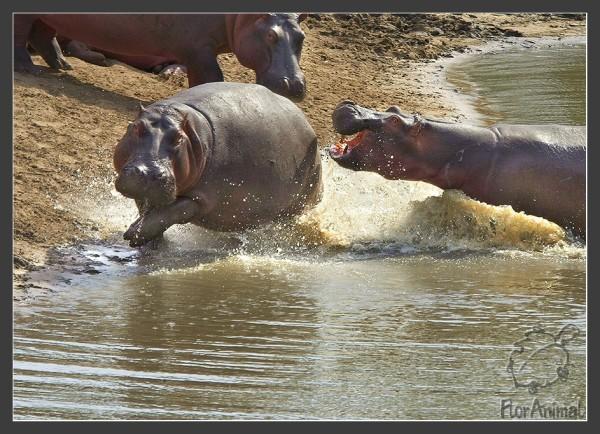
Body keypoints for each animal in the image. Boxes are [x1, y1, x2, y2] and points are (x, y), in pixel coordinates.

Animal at [15, 12, 310, 101]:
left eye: (302, 37)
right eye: (271, 35)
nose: (295, 84)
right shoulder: (199, 50)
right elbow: (211, 76)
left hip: (51, 19)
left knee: (43, 35)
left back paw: (63, 67)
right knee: (21, 36)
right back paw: (30, 70)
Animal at [113, 83, 324, 246]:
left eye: (179, 138)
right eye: (135, 127)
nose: (148, 172)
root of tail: (308, 124)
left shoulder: (202, 197)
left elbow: (172, 211)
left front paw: (132, 234)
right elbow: (148, 211)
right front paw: (146, 239)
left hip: (299, 204)